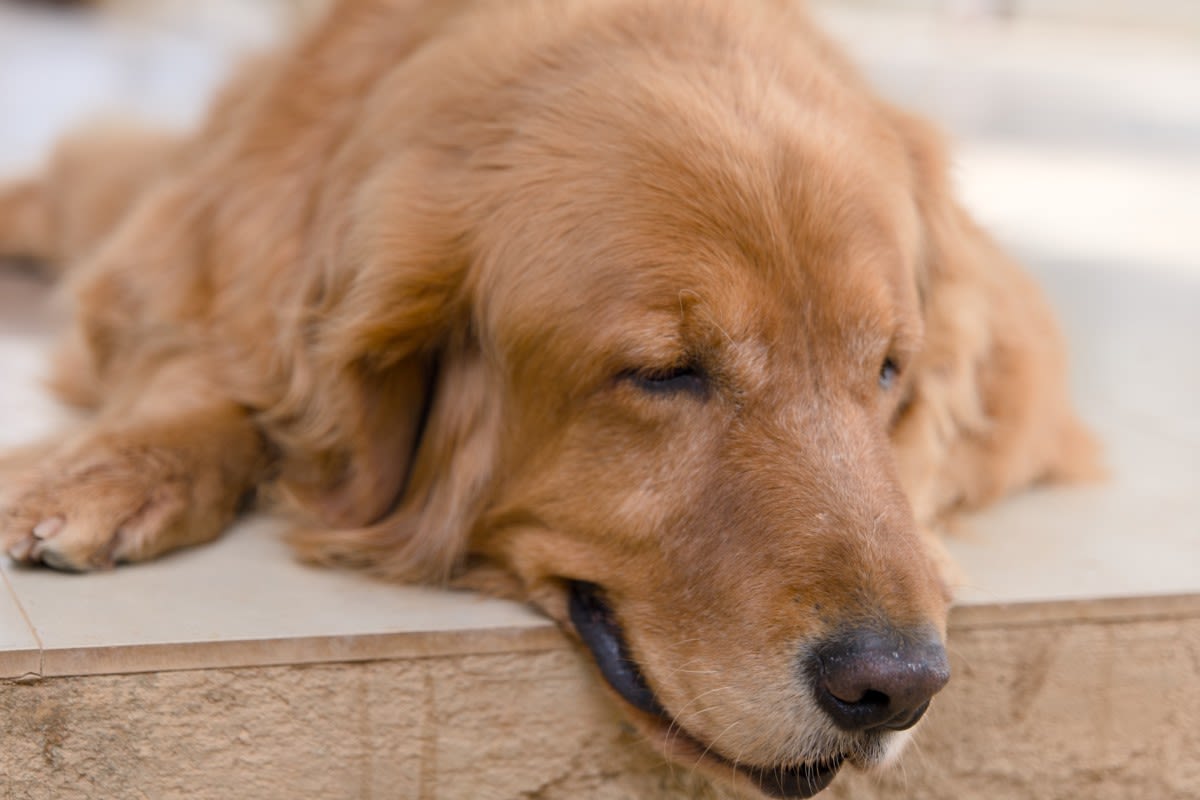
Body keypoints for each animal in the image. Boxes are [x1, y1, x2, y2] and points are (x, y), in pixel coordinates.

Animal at [0, 3, 1099, 796]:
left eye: (887, 370)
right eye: (664, 371)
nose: (900, 686)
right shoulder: (207, 239)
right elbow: (207, 361)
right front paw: (110, 468)